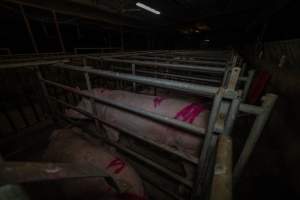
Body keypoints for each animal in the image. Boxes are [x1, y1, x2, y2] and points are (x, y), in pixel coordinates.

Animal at [65, 88, 209, 156]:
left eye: (82, 102)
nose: (67, 110)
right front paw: (131, 144)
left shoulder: (109, 124)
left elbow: (113, 139)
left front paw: (110, 149)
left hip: (188, 147)